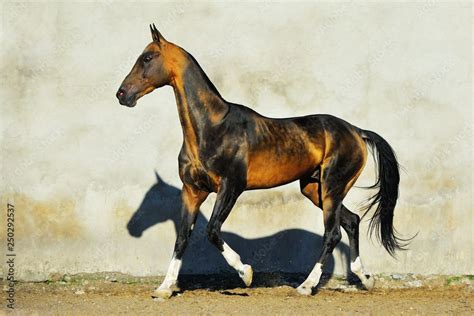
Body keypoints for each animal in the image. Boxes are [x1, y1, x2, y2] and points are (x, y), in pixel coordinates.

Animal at [115, 24, 408, 298]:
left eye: (147, 58)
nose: (122, 94)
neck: (211, 128)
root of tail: (357, 131)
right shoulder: (192, 191)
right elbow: (182, 238)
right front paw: (164, 288)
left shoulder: (231, 187)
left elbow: (212, 230)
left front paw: (246, 274)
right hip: (315, 189)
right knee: (352, 221)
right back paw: (366, 279)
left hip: (332, 188)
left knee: (333, 233)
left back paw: (306, 286)